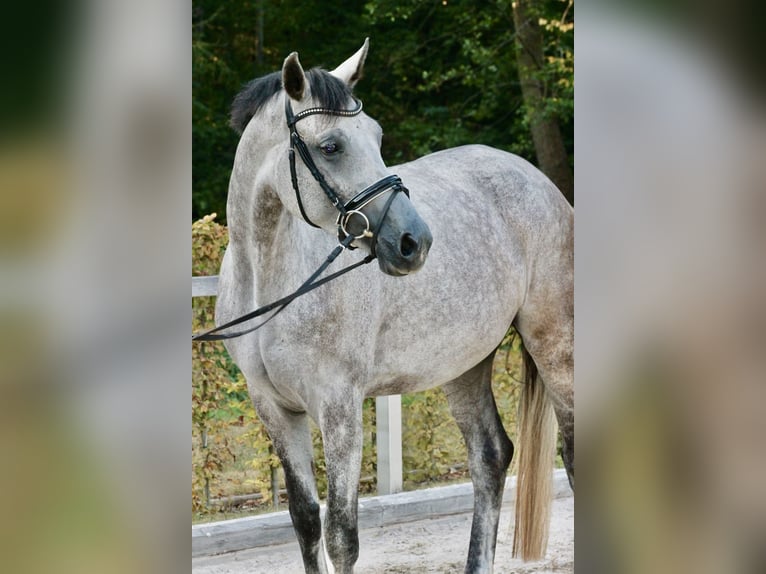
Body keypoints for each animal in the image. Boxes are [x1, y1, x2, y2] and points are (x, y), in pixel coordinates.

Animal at [213, 38, 572, 572]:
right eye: (331, 146)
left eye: (377, 137)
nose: (414, 241)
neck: (269, 284)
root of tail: (540, 182)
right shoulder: (273, 408)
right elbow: (305, 521)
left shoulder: (339, 406)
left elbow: (342, 534)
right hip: (464, 364)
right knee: (490, 457)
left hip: (554, 344)